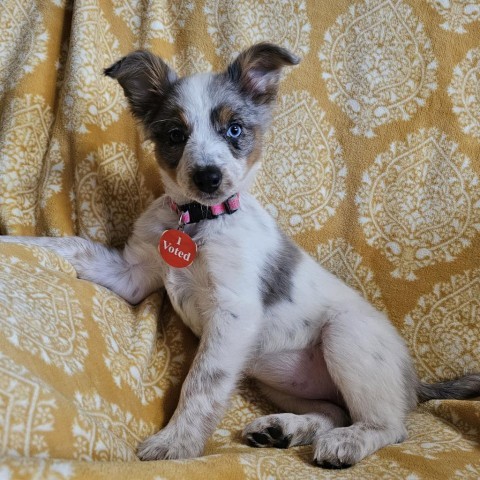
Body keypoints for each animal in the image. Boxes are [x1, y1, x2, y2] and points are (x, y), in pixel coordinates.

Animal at [1, 43, 478, 466]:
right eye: (175, 135)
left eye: (234, 130)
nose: (209, 177)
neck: (198, 222)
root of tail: (414, 381)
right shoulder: (132, 274)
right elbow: (71, 245)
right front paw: (15, 244)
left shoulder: (233, 311)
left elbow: (201, 384)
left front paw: (176, 442)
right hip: (287, 381)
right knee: (332, 410)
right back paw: (284, 428)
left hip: (347, 336)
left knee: (389, 426)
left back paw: (347, 442)